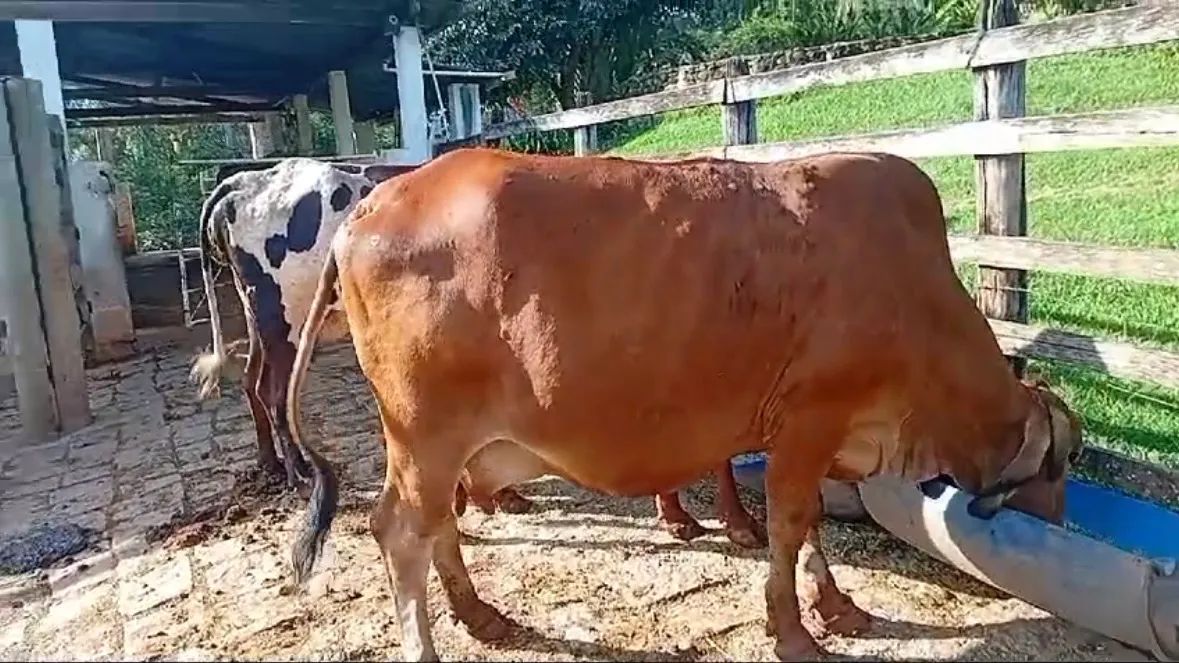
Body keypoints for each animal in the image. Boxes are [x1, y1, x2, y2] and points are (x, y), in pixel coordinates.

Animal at [189, 158, 765, 546]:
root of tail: (246, 182)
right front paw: (722, 521)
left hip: (264, 320)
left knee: (252, 383)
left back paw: (271, 466)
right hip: (282, 318)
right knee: (273, 391)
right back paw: (295, 473)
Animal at [279, 148, 1084, 660]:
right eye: (1059, 463)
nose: (1057, 527)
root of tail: (373, 204)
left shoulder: (816, 434)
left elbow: (813, 525)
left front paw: (837, 606)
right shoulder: (810, 420)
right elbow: (790, 525)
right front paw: (795, 632)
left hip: (436, 447)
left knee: (436, 525)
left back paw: (480, 615)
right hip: (425, 434)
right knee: (400, 533)